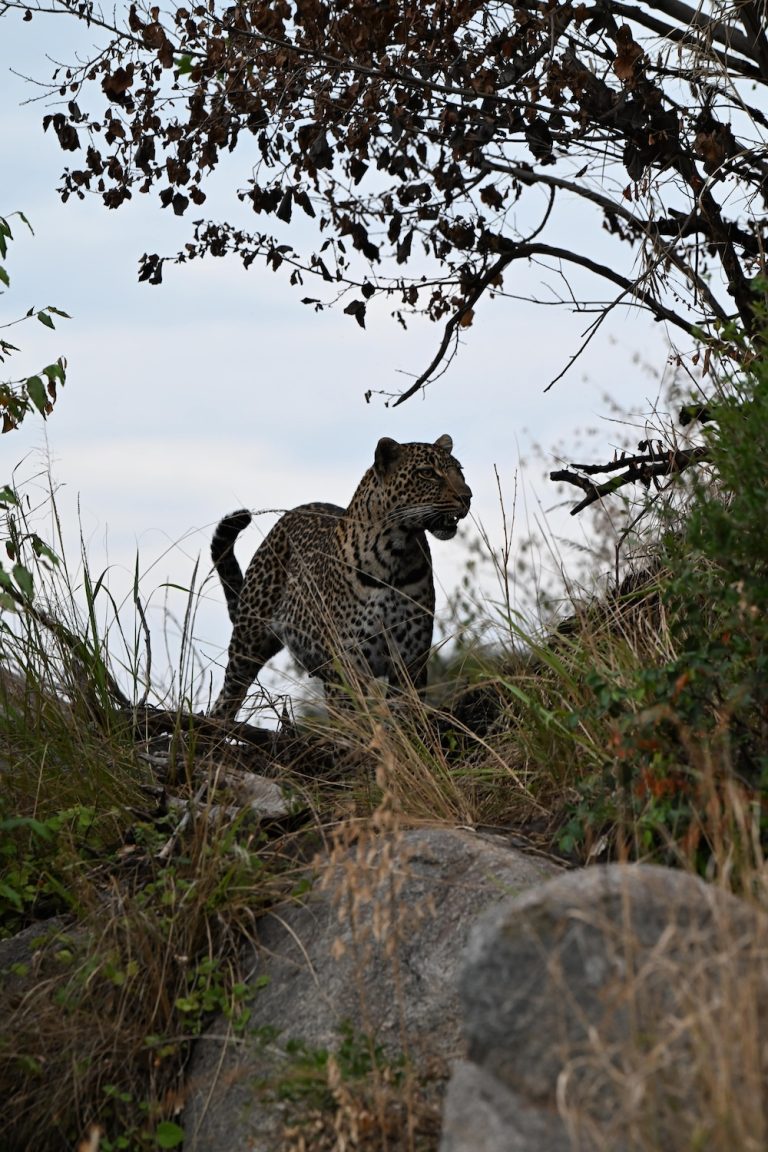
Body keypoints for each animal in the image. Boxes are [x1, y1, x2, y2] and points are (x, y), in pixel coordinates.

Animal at [209, 434, 472, 719]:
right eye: (427, 473)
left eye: (460, 470)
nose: (467, 497)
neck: (396, 556)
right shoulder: (348, 666)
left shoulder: (410, 662)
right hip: (247, 643)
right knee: (226, 697)